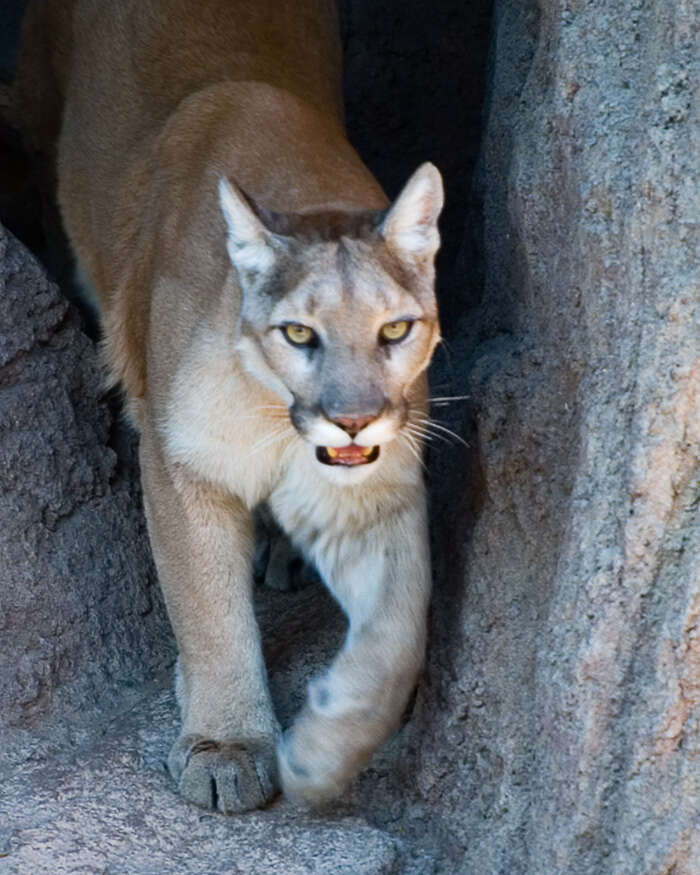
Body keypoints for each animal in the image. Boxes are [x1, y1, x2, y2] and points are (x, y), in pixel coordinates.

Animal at [20, 0, 442, 816]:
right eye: (299, 333)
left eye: (395, 330)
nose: (353, 419)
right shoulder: (181, 461)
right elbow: (208, 606)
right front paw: (227, 745)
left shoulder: (381, 484)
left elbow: (400, 629)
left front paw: (325, 753)